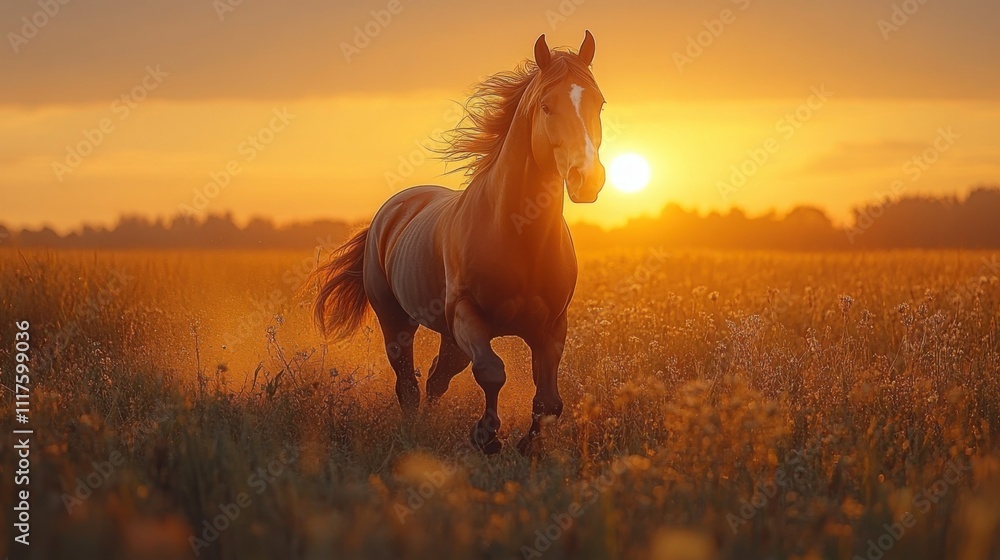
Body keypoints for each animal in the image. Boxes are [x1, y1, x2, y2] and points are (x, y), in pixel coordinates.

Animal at [312, 31, 606, 455]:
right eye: (546, 106)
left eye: (599, 103)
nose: (588, 179)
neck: (519, 236)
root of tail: (392, 210)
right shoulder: (468, 315)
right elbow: (492, 372)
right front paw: (486, 436)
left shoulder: (551, 327)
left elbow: (549, 401)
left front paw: (526, 446)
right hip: (396, 321)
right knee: (409, 384)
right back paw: (416, 432)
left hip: (449, 337)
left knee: (437, 378)